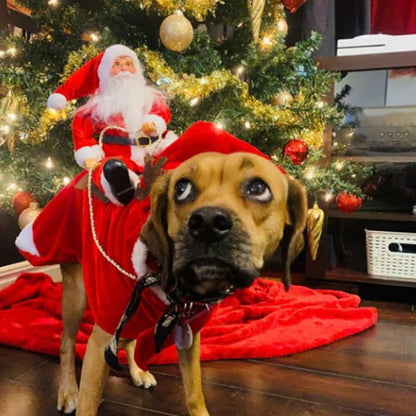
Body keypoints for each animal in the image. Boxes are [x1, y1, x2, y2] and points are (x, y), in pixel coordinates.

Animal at [57, 151, 306, 414]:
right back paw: (68, 391)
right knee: (66, 341)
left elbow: (194, 392)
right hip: (76, 295)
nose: (208, 223)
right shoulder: (102, 340)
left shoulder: (190, 337)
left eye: (258, 189)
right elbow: (89, 402)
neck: (179, 294)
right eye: (181, 189)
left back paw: (138, 372)